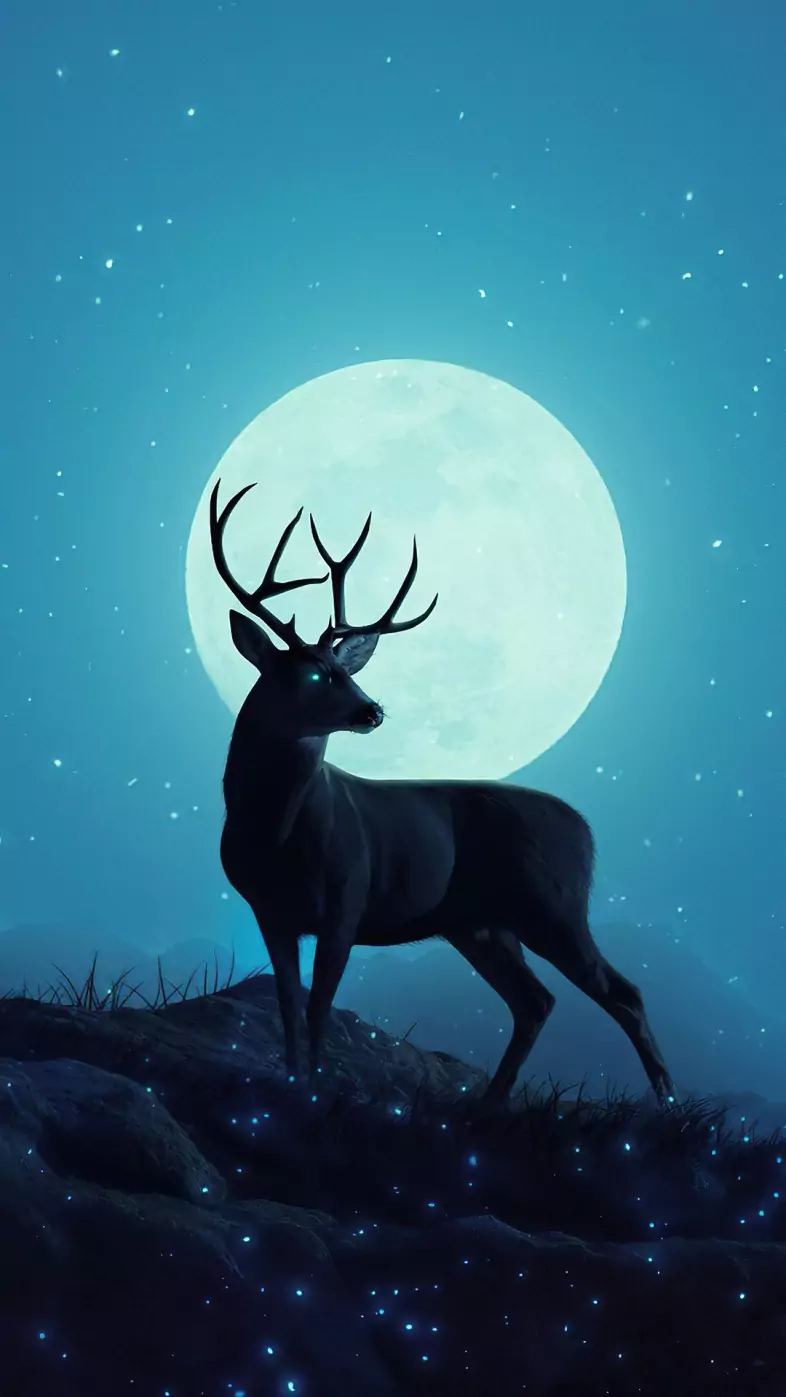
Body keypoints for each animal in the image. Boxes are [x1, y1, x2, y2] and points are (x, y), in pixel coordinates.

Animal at [210, 479, 678, 1108]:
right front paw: (292, 1083)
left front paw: (315, 1092)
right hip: (480, 924)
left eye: (346, 669)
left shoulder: (348, 898)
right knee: (536, 1000)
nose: (372, 710)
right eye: (310, 673)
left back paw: (668, 1104)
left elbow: (318, 1007)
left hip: (552, 903)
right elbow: (288, 1006)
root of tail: (586, 830)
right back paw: (490, 1103)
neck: (275, 831)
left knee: (621, 991)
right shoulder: (269, 910)